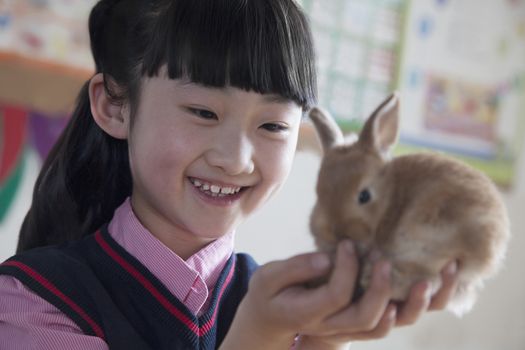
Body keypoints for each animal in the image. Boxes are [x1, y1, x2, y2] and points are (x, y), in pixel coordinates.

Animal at [310, 91, 510, 316]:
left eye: (364, 196)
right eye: (318, 192)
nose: (336, 234)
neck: (390, 197)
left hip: (429, 241)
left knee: (430, 280)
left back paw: (371, 277)